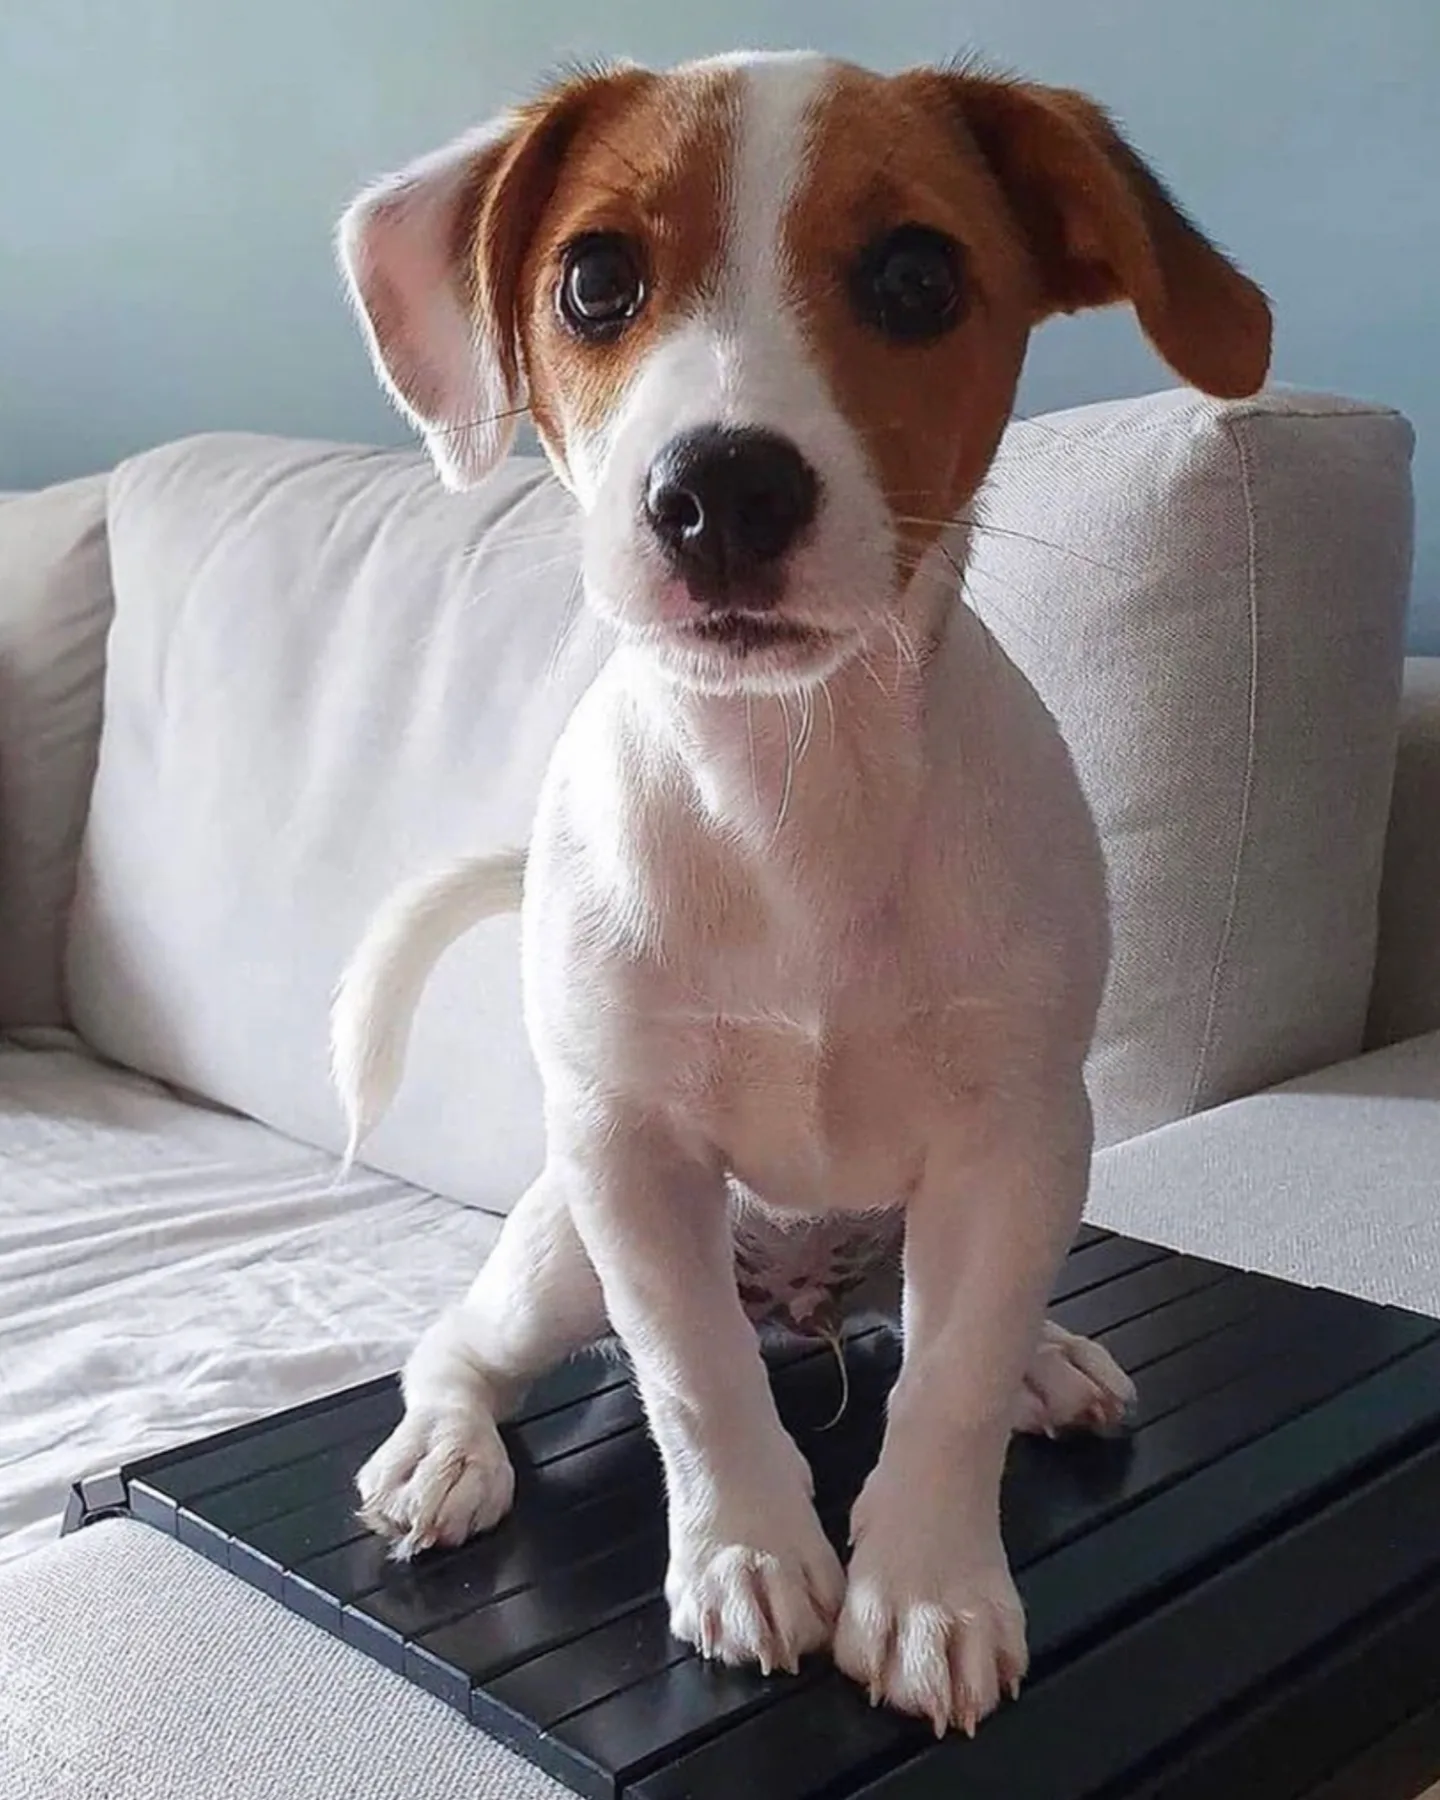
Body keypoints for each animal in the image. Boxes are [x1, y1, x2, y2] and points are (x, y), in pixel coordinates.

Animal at [329, 52, 1274, 1742]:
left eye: (916, 277)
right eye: (593, 280)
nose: (722, 487)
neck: (790, 795)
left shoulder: (1019, 1142)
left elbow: (945, 1387)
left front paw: (930, 1589)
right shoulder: (634, 1161)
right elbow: (695, 1380)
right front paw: (751, 1558)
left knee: (954, 1331)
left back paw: (1044, 1359)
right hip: (561, 1247)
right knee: (459, 1347)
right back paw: (446, 1450)